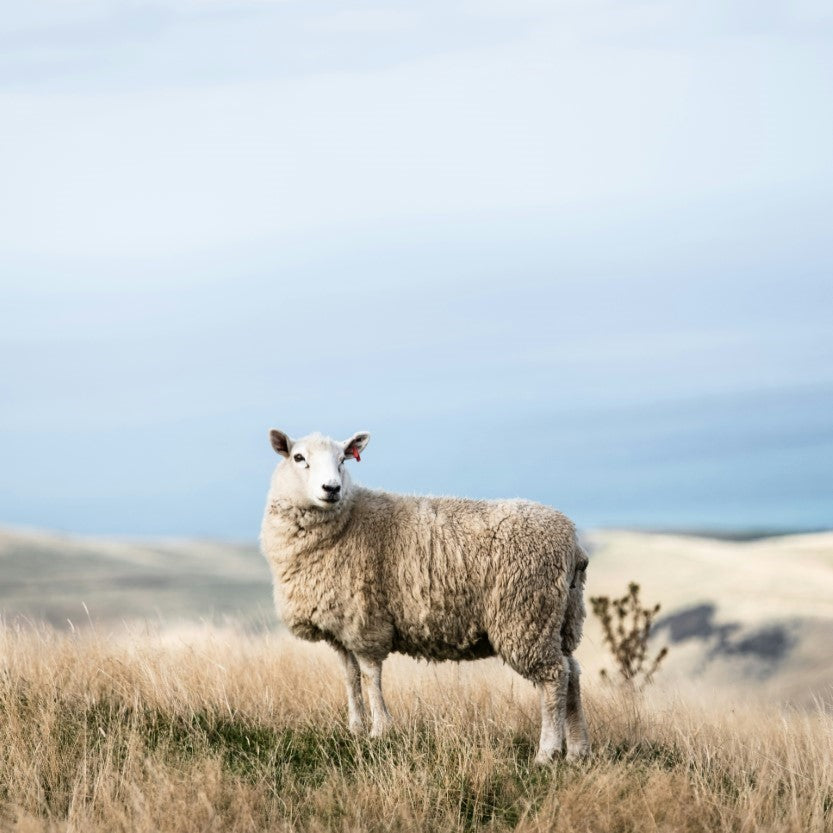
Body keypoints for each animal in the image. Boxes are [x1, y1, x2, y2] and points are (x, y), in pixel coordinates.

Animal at [259, 428, 590, 763]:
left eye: (342, 460)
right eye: (299, 457)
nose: (332, 488)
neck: (348, 520)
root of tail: (572, 543)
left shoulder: (366, 622)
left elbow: (370, 676)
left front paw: (379, 730)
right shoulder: (340, 627)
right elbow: (350, 677)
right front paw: (355, 728)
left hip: (526, 615)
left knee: (553, 678)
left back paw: (547, 753)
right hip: (561, 618)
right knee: (572, 672)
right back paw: (577, 750)